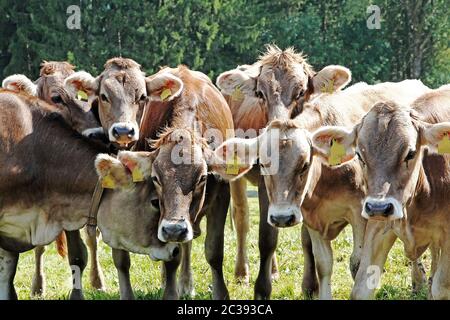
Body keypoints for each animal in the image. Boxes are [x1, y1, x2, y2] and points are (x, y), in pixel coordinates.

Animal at [214, 79, 432, 298]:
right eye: (265, 165)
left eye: (304, 164)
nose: (282, 218)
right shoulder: (311, 218)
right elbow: (323, 264)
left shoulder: (361, 214)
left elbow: (358, 263)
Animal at [312, 86, 450, 298]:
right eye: (359, 155)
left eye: (410, 153)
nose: (379, 207)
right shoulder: (378, 228)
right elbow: (361, 288)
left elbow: (440, 288)